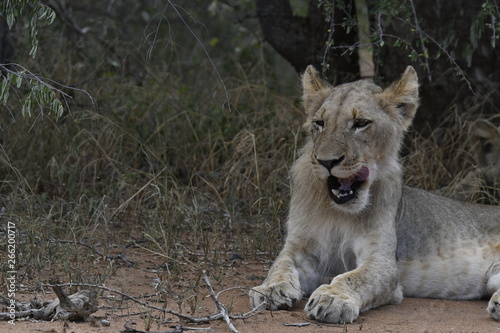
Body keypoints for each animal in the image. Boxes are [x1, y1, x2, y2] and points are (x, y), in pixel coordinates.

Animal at [250, 65, 500, 322]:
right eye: (319, 123)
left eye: (360, 123)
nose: (326, 161)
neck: (337, 212)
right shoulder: (300, 247)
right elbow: (280, 265)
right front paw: (270, 289)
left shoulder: (382, 262)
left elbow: (354, 277)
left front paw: (332, 298)